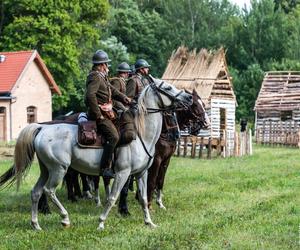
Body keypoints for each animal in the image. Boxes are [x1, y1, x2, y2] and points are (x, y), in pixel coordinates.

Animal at [0, 79, 192, 231]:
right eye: (167, 87)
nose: (188, 97)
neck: (140, 135)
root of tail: (42, 127)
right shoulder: (122, 173)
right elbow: (112, 197)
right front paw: (101, 222)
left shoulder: (141, 173)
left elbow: (144, 198)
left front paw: (149, 222)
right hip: (58, 169)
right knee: (49, 191)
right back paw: (65, 219)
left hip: (46, 170)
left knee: (36, 192)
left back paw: (36, 225)